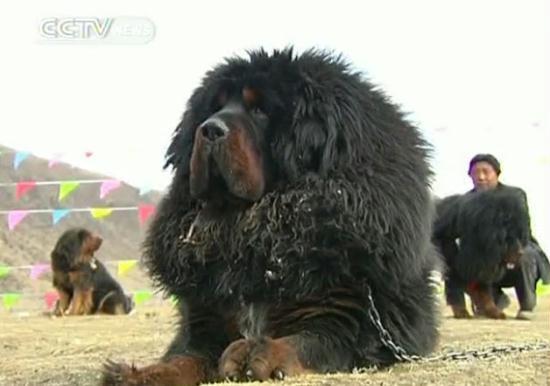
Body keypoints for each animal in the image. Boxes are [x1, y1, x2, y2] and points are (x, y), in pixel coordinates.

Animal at [102, 49, 440, 384]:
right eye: (215, 106)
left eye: (260, 110)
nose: (209, 129)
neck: (249, 228)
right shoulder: (204, 321)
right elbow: (183, 358)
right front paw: (138, 374)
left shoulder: (345, 313)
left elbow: (309, 340)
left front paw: (257, 352)